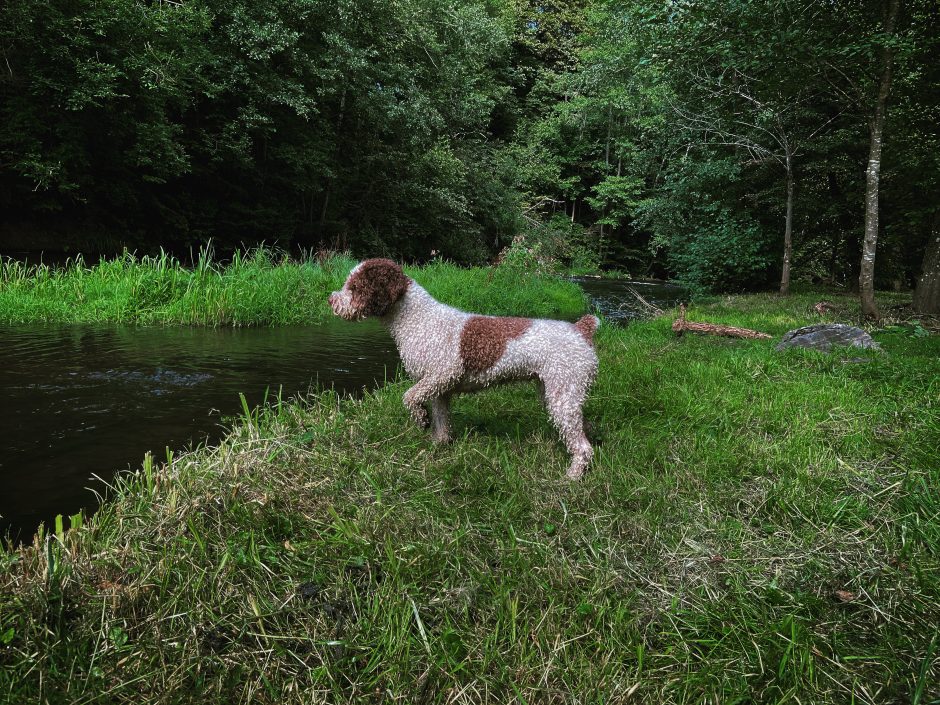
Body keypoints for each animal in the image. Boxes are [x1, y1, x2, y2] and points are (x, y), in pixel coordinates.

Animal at [326, 258, 600, 478]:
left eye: (355, 287)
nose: (331, 299)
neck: (417, 319)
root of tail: (581, 329)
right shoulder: (438, 387)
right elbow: (441, 419)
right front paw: (439, 444)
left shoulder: (442, 374)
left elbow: (409, 397)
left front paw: (421, 419)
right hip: (558, 393)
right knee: (583, 429)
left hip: (563, 393)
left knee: (583, 446)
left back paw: (572, 477)